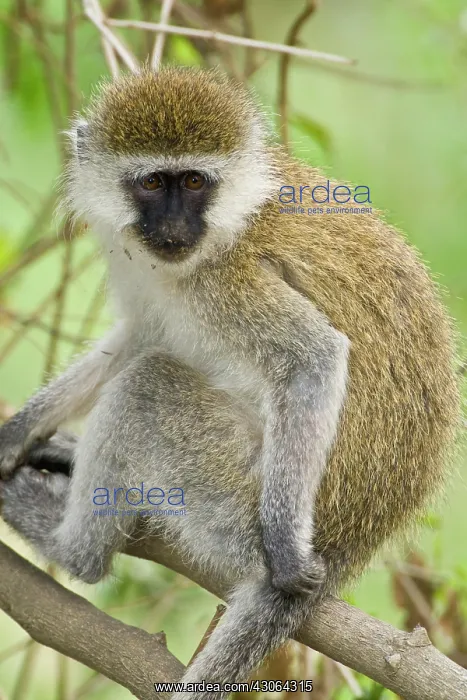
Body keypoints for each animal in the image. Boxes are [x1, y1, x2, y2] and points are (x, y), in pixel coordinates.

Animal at [0, 67, 460, 698]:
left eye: (195, 182)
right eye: (152, 183)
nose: (173, 226)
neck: (230, 220)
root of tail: (351, 539)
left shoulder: (230, 280)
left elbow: (315, 357)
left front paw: (286, 552)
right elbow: (142, 331)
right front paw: (15, 432)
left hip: (233, 503)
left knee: (146, 387)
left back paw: (71, 548)